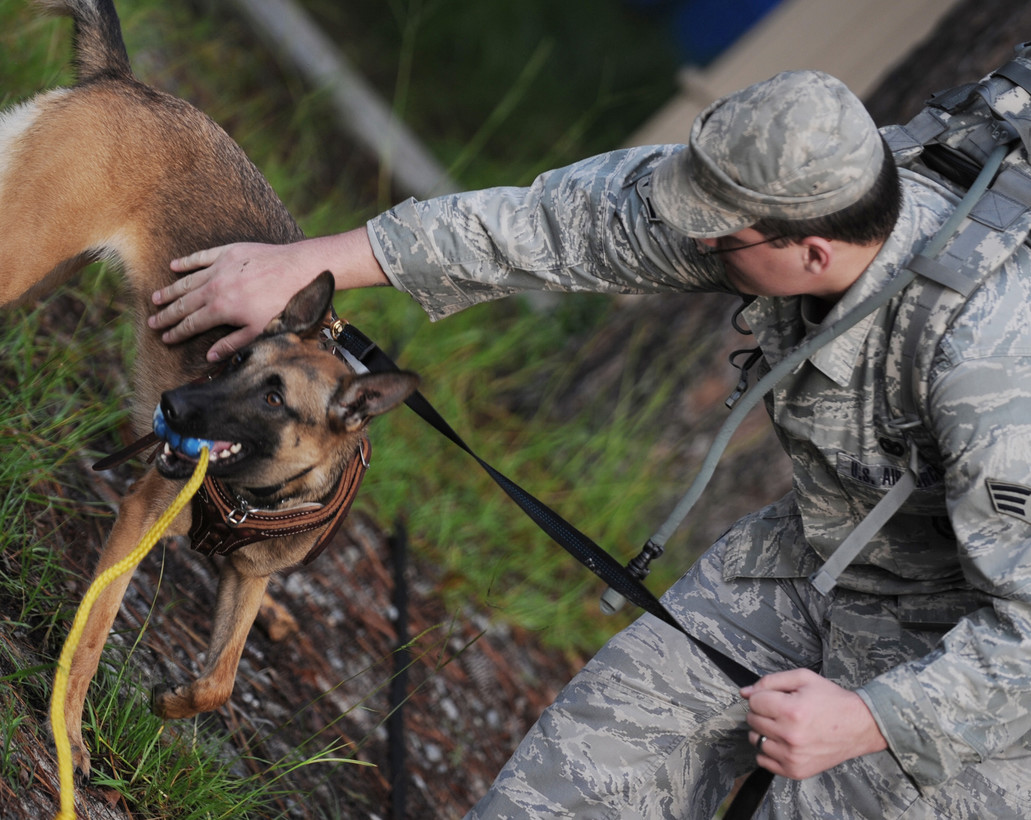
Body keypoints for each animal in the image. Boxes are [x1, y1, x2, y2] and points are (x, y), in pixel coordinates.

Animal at [1, 0, 418, 775]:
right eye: (232, 361)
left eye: (273, 397)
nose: (171, 409)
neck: (262, 493)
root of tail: (124, 80)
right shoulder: (141, 514)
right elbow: (93, 636)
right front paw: (68, 734)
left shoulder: (250, 578)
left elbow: (220, 681)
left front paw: (171, 703)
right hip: (20, 255)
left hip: (40, 270)